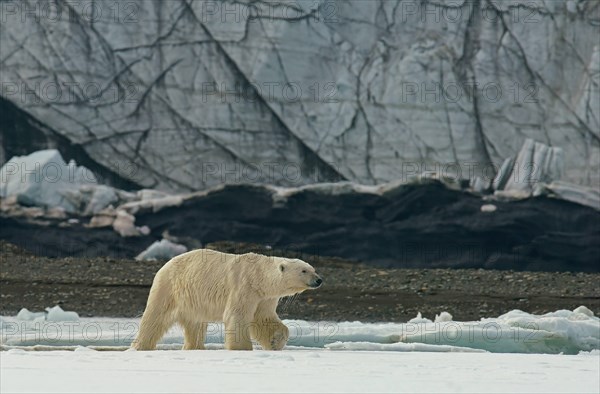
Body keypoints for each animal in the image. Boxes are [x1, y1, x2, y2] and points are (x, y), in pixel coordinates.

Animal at [129, 249, 322, 350]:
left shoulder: (263, 297)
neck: (258, 275)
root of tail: (165, 265)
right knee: (155, 317)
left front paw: (275, 342)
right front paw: (241, 348)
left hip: (192, 300)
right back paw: (140, 346)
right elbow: (237, 316)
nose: (319, 280)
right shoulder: (244, 287)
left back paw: (195, 347)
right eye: (304, 270)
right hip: (169, 288)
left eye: (313, 269)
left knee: (195, 324)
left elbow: (263, 318)